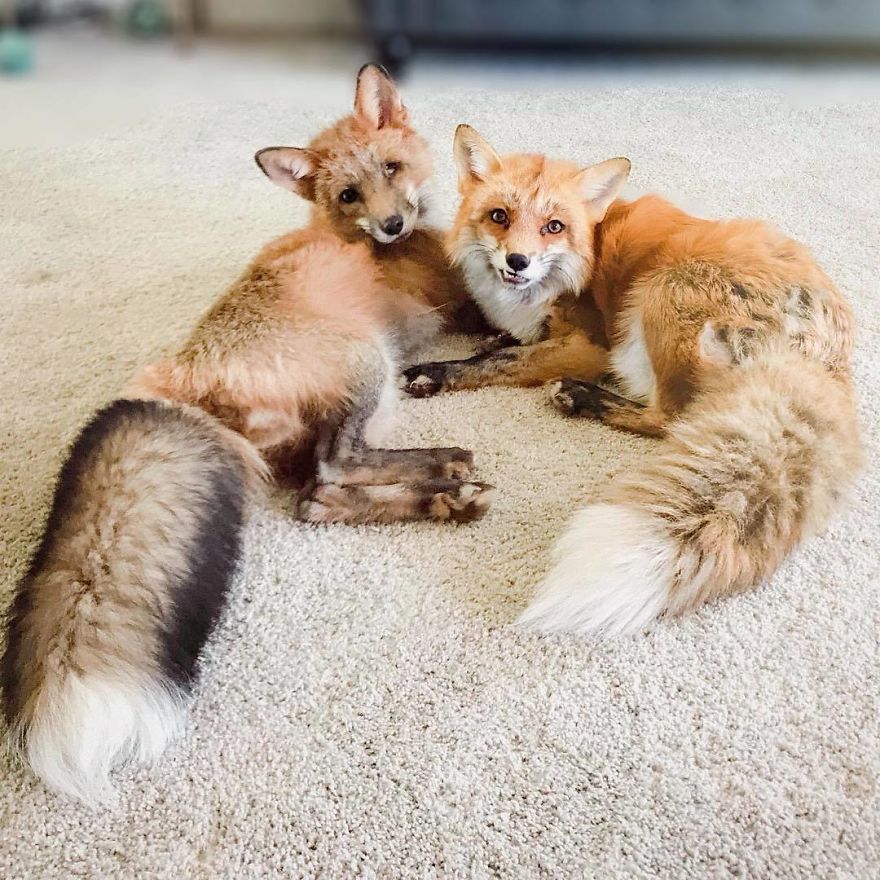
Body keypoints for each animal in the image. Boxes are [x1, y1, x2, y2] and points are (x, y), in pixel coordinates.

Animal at [1, 65, 493, 806]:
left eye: (391, 168)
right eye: (348, 194)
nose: (391, 225)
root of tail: (183, 377)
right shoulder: (463, 301)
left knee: (315, 501)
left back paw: (440, 502)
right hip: (368, 361)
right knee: (336, 466)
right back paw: (443, 468)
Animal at [403, 125, 863, 636]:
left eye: (553, 227)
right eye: (499, 216)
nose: (518, 261)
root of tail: (826, 359)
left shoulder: (589, 346)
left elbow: (502, 360)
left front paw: (438, 372)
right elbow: (500, 341)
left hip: (662, 292)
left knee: (670, 416)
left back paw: (583, 397)